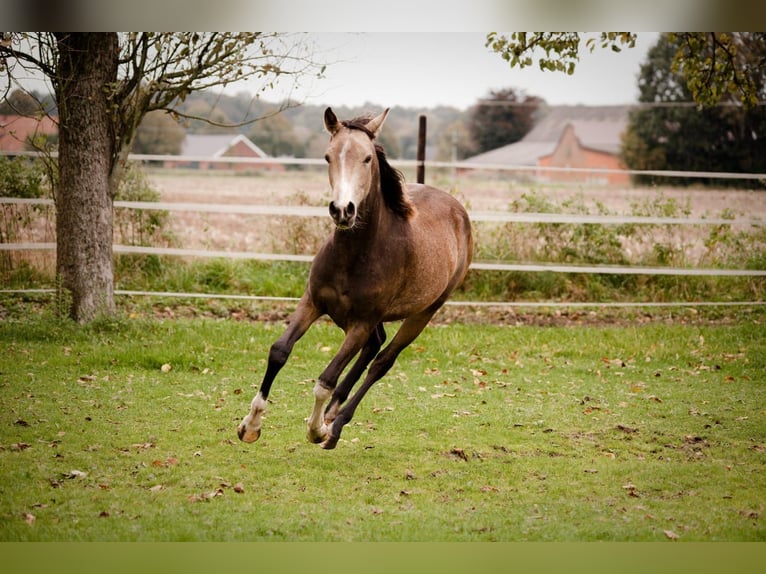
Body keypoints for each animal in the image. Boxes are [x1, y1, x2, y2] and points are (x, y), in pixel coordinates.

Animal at [237, 107, 473, 449]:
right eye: (327, 156)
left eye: (367, 158)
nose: (342, 210)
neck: (354, 255)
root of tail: (458, 212)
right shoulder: (312, 302)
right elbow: (279, 351)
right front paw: (251, 425)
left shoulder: (360, 323)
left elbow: (326, 378)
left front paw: (317, 429)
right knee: (375, 346)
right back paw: (332, 413)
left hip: (425, 312)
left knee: (382, 361)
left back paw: (334, 426)